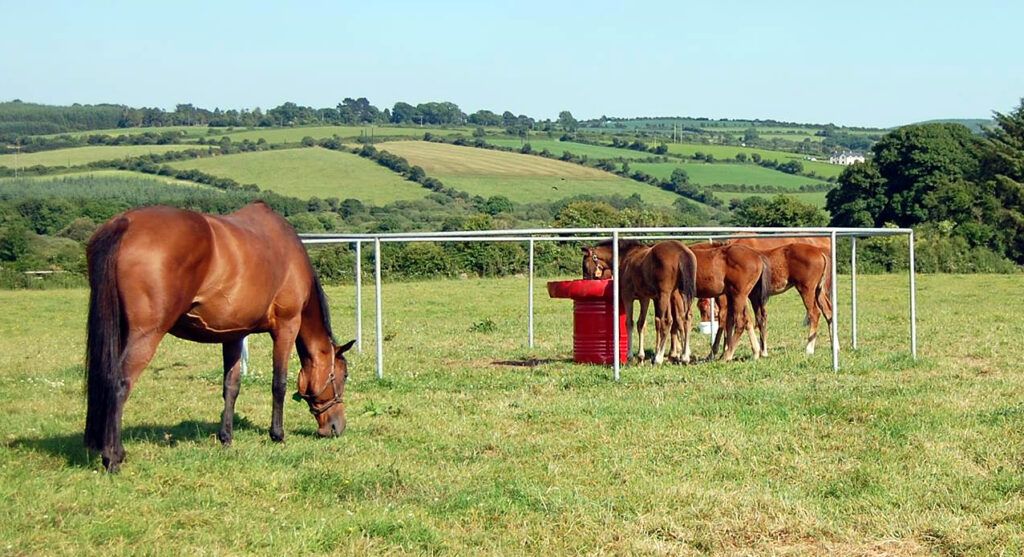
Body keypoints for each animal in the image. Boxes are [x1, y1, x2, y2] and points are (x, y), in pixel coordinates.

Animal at [85, 201, 354, 472]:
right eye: (343, 375)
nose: (336, 427)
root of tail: (125, 223)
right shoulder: (287, 327)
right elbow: (279, 383)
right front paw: (277, 435)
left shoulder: (234, 335)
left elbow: (231, 386)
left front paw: (226, 437)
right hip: (145, 335)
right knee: (120, 384)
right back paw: (113, 456)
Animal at [699, 242, 833, 356]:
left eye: (704, 309)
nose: (704, 322)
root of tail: (819, 252)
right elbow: (759, 318)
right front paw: (762, 350)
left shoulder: (741, 297)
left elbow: (742, 320)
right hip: (819, 291)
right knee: (828, 312)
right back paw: (833, 346)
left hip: (806, 290)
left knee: (814, 313)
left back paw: (809, 349)